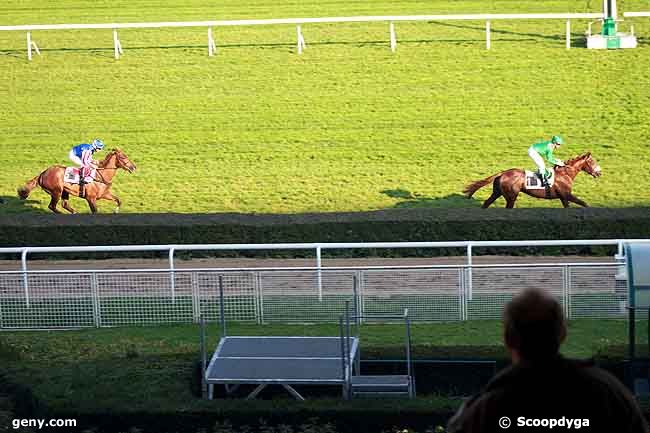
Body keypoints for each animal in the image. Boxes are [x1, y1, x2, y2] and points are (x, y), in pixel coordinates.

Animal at [464, 153, 600, 208]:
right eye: (592, 161)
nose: (599, 172)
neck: (565, 174)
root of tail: (502, 173)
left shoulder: (563, 197)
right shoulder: (567, 195)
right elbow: (584, 203)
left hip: (497, 192)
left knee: (486, 203)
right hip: (511, 196)